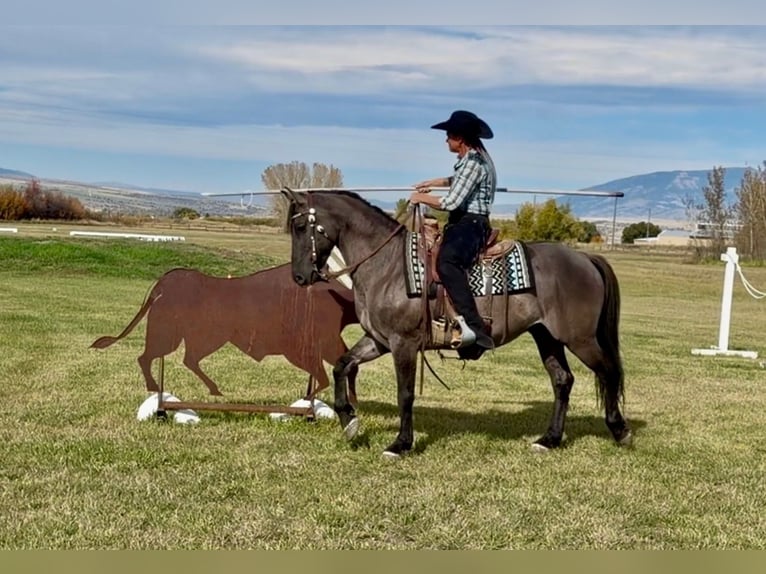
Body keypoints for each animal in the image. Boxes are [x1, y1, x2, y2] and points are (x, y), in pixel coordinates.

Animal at [91, 263, 359, 403]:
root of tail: (162, 284)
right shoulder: (305, 349)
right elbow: (324, 376)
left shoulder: (327, 346)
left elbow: (342, 368)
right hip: (174, 337)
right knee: (148, 357)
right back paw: (154, 388)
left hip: (201, 338)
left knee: (186, 359)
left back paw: (213, 389)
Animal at [281, 188, 631, 458]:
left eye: (300, 227)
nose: (299, 277)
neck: (386, 265)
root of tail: (585, 258)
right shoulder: (379, 339)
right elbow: (343, 365)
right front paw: (350, 422)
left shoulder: (403, 343)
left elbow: (405, 394)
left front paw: (400, 444)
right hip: (546, 336)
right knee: (562, 380)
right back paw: (549, 440)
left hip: (580, 338)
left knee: (608, 372)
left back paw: (620, 430)